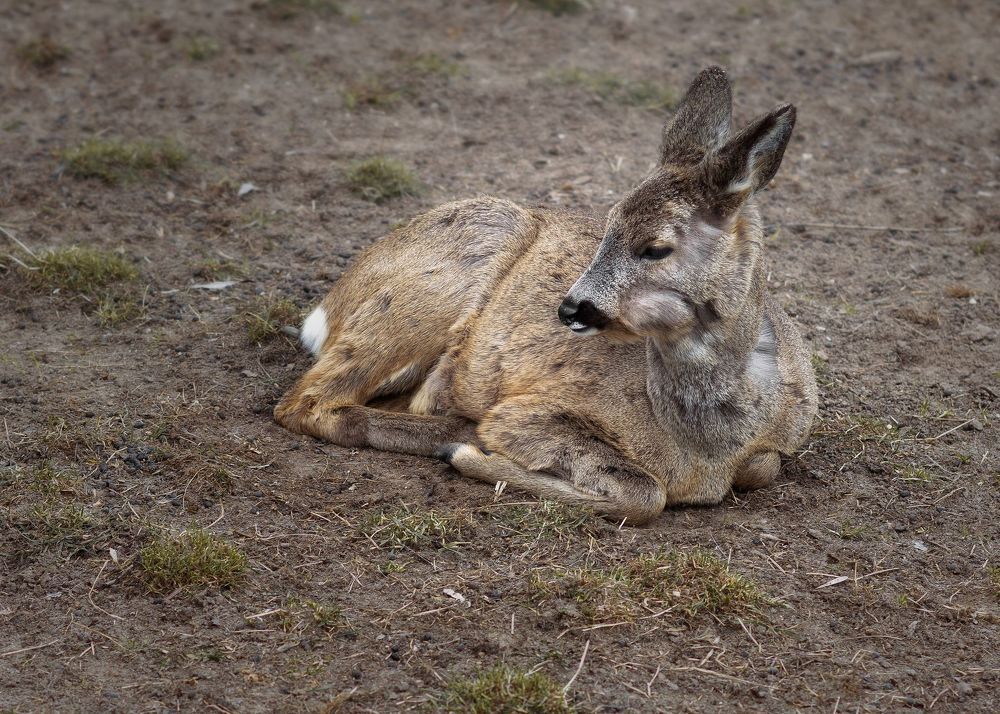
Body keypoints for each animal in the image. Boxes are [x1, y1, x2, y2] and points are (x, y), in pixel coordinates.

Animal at [274, 66, 818, 525]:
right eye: (608, 221)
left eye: (656, 247)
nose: (570, 307)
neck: (708, 443)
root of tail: (328, 307)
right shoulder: (530, 410)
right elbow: (645, 494)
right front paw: (471, 453)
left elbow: (760, 468)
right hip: (433, 289)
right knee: (307, 402)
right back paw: (454, 434)